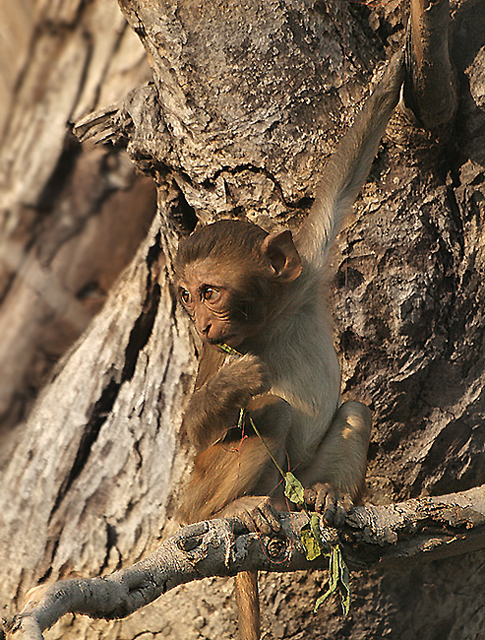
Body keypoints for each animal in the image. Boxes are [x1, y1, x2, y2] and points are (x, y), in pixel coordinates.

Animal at [174, 51, 404, 640]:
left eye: (209, 292)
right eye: (186, 296)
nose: (200, 323)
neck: (271, 316)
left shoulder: (310, 270)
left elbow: (341, 188)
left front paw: (393, 76)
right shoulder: (217, 351)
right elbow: (197, 430)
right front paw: (234, 384)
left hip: (296, 482)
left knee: (354, 410)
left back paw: (330, 496)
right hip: (200, 492)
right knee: (271, 413)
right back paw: (227, 512)